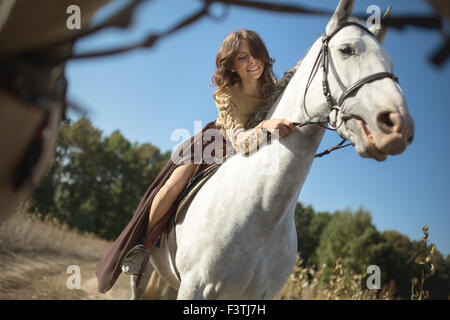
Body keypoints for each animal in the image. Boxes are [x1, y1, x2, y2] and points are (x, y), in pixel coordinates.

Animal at [134, 0, 414, 300]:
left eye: (390, 62)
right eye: (346, 50)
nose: (398, 125)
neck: (264, 212)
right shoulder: (194, 287)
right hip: (145, 276)